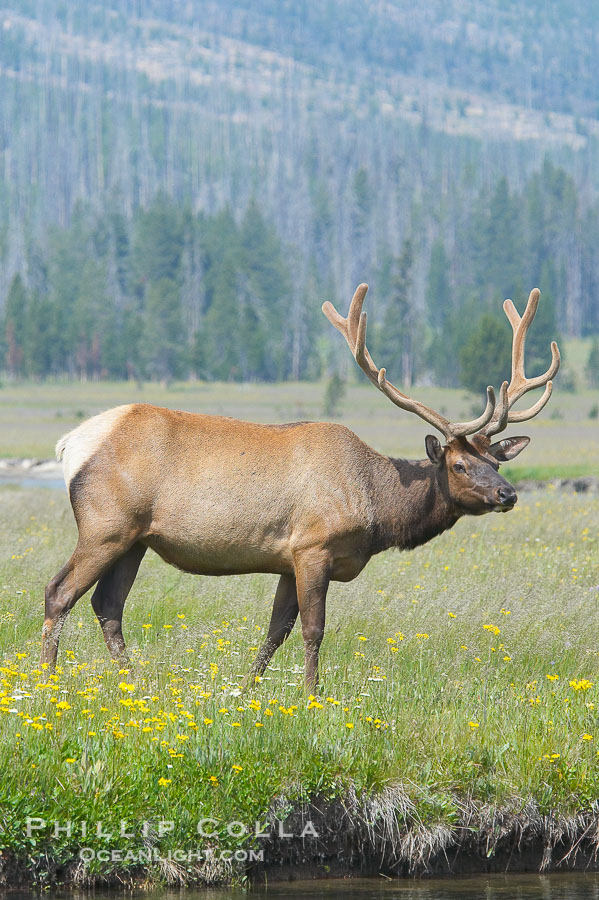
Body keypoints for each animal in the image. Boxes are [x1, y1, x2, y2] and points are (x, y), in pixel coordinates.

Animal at [41, 285, 560, 687]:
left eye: (495, 459)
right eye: (458, 464)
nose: (507, 494)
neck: (376, 509)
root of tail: (69, 443)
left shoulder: (287, 559)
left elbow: (275, 630)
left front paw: (247, 688)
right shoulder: (314, 546)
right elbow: (314, 629)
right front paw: (312, 695)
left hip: (136, 539)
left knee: (108, 605)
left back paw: (133, 683)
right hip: (106, 525)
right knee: (59, 592)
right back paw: (47, 683)